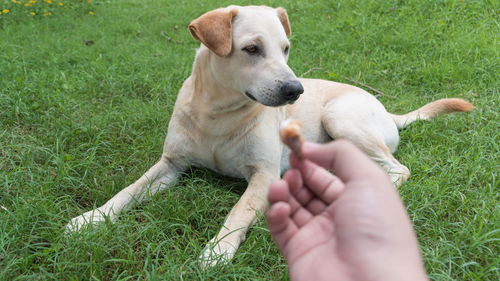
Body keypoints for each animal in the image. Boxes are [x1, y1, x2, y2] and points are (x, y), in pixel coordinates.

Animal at [65, 5, 472, 266]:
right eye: (251, 49)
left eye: (286, 48)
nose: (296, 90)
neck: (217, 115)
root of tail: (389, 112)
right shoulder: (170, 165)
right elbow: (128, 191)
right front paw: (90, 219)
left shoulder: (264, 175)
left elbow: (239, 212)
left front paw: (217, 251)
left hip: (338, 116)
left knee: (396, 170)